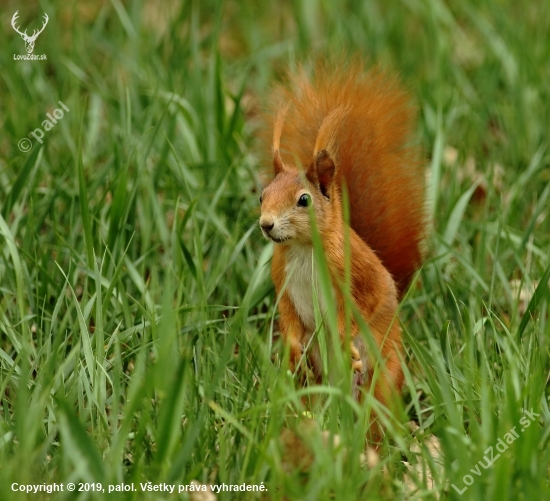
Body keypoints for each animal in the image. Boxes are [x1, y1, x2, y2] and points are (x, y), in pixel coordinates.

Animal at [258, 61, 426, 414]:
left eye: (304, 200)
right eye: (262, 195)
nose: (266, 224)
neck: (304, 250)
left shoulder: (358, 271)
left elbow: (364, 304)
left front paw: (342, 339)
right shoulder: (282, 279)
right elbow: (289, 317)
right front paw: (292, 348)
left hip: (384, 377)